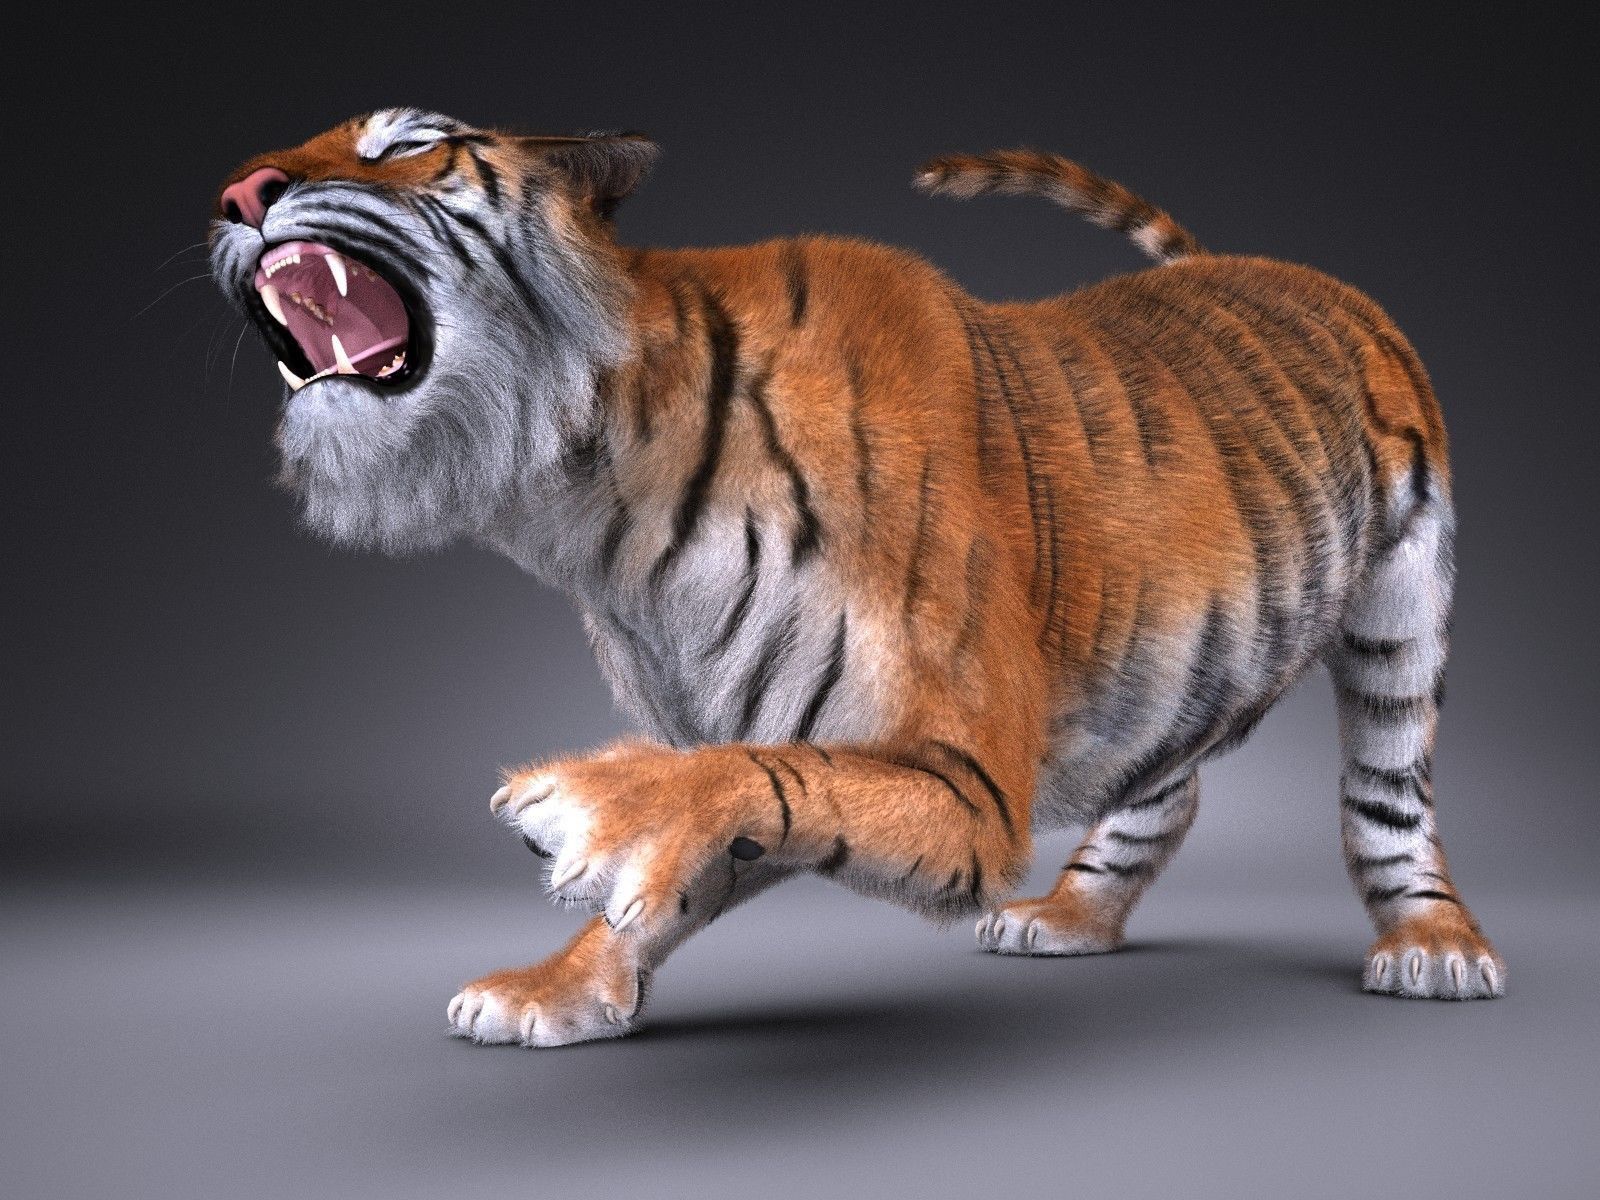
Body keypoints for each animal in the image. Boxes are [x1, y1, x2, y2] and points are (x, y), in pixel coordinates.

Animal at [209, 108, 1505, 1048]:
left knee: (1386, 798)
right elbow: (725, 831)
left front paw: (593, 808)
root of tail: (1285, 271)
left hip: (1399, 619)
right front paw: (559, 989)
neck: (588, 489)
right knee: (1168, 786)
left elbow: (747, 779)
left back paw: (1433, 949)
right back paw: (1072, 916)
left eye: (404, 143)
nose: (236, 194)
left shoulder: (966, 776)